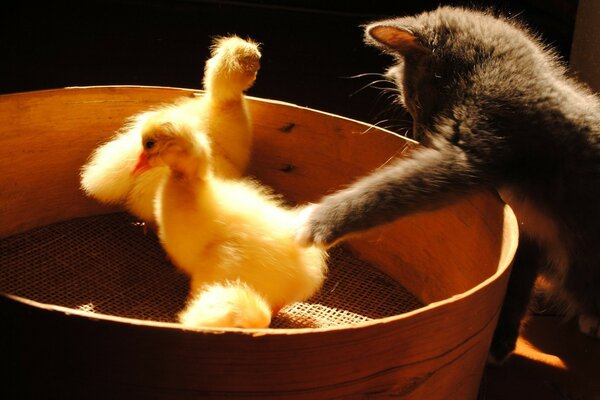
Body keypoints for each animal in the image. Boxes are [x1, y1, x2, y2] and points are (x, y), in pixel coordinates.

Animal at [298, 6, 600, 364]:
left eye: (415, 101)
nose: (418, 137)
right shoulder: (528, 234)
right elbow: (516, 284)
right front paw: (499, 340)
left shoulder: (476, 149)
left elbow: (395, 187)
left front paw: (315, 222)